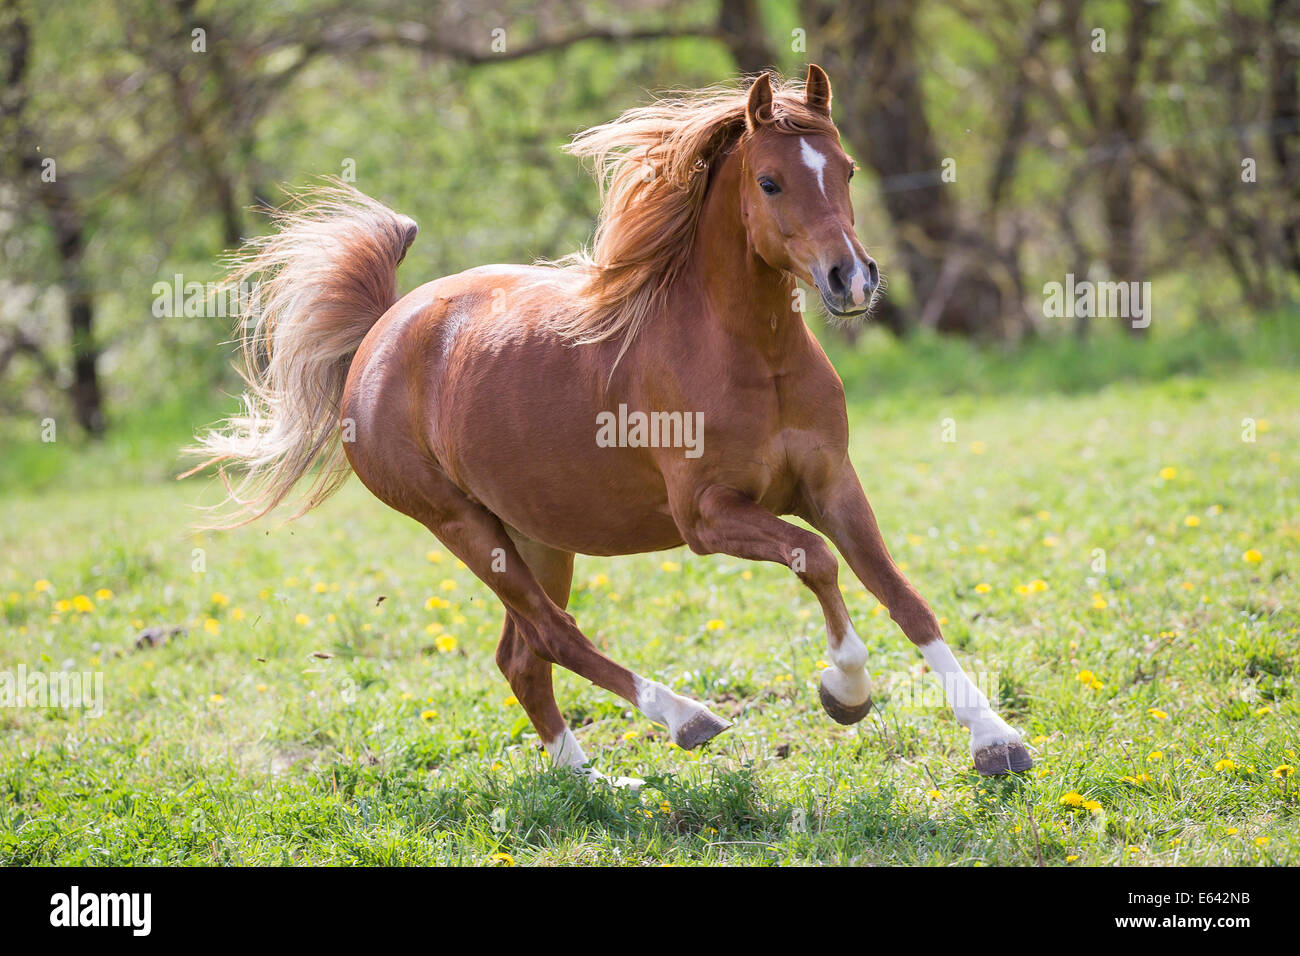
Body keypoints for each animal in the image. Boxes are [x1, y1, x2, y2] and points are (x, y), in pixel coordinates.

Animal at [192, 70, 1029, 780]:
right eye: (770, 180)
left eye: (847, 170)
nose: (851, 280)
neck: (752, 356)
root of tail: (382, 332)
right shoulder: (708, 516)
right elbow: (817, 561)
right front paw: (844, 691)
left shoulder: (833, 486)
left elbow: (902, 596)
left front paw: (995, 741)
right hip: (463, 527)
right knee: (553, 634)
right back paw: (686, 719)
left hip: (537, 533)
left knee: (521, 657)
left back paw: (596, 785)